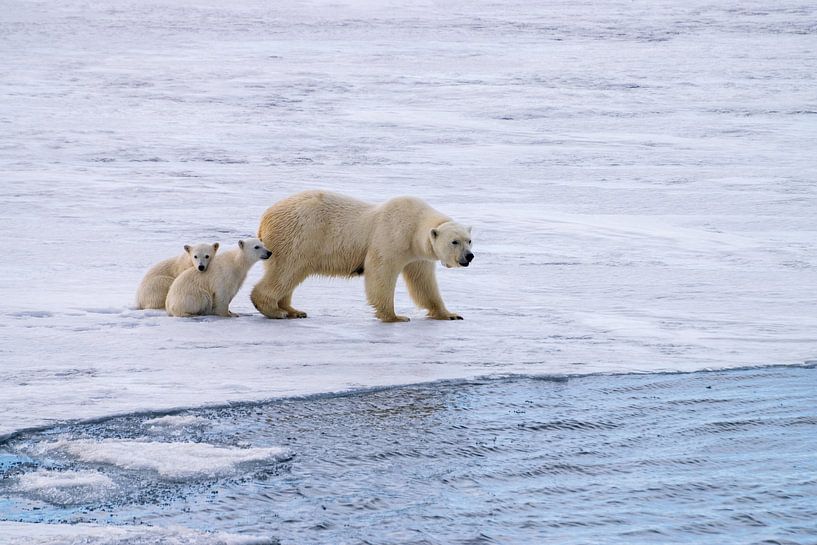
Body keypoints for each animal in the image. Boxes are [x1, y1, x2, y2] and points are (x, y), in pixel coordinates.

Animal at [252, 189, 474, 320]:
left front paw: (450, 314)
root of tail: (264, 218)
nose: (469, 256)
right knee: (287, 270)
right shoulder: (392, 236)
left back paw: (293, 310)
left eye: (469, 240)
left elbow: (424, 282)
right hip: (298, 236)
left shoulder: (416, 254)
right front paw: (395, 316)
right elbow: (380, 271)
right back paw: (273, 309)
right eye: (454, 241)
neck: (415, 225)